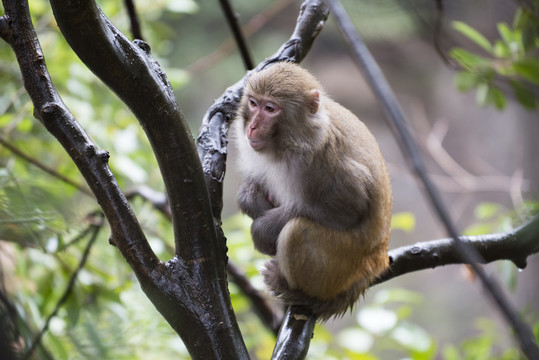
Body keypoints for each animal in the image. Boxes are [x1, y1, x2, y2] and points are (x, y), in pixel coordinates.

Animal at [232, 62, 392, 320]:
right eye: (253, 103)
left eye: (270, 109)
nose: (253, 127)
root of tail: (377, 262)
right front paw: (251, 198)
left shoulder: (322, 161)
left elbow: (350, 210)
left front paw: (263, 230)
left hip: (343, 265)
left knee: (297, 231)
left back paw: (300, 292)